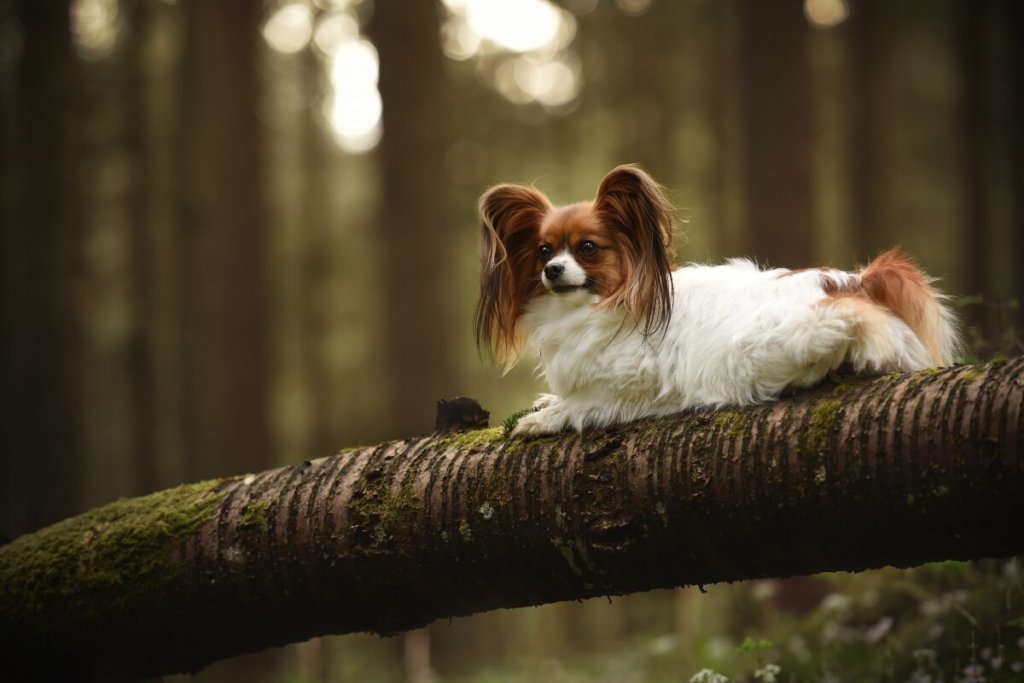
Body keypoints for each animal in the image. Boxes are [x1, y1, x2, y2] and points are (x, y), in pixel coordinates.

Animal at [475, 162, 962, 436]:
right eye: (544, 251)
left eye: (588, 248)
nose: (552, 271)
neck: (606, 305)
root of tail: (855, 281)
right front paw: (548, 402)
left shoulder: (633, 382)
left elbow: (586, 402)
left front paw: (548, 417)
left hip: (786, 338)